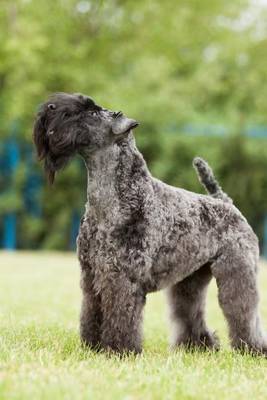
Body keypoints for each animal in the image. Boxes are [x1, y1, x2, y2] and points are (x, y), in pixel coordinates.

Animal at [33, 94, 267, 356]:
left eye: (92, 114)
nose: (49, 108)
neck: (114, 199)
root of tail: (226, 203)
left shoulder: (122, 277)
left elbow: (121, 316)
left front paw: (120, 350)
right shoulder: (91, 275)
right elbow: (91, 313)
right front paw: (93, 347)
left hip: (237, 271)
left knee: (244, 311)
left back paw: (253, 349)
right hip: (190, 281)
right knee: (190, 311)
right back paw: (196, 346)